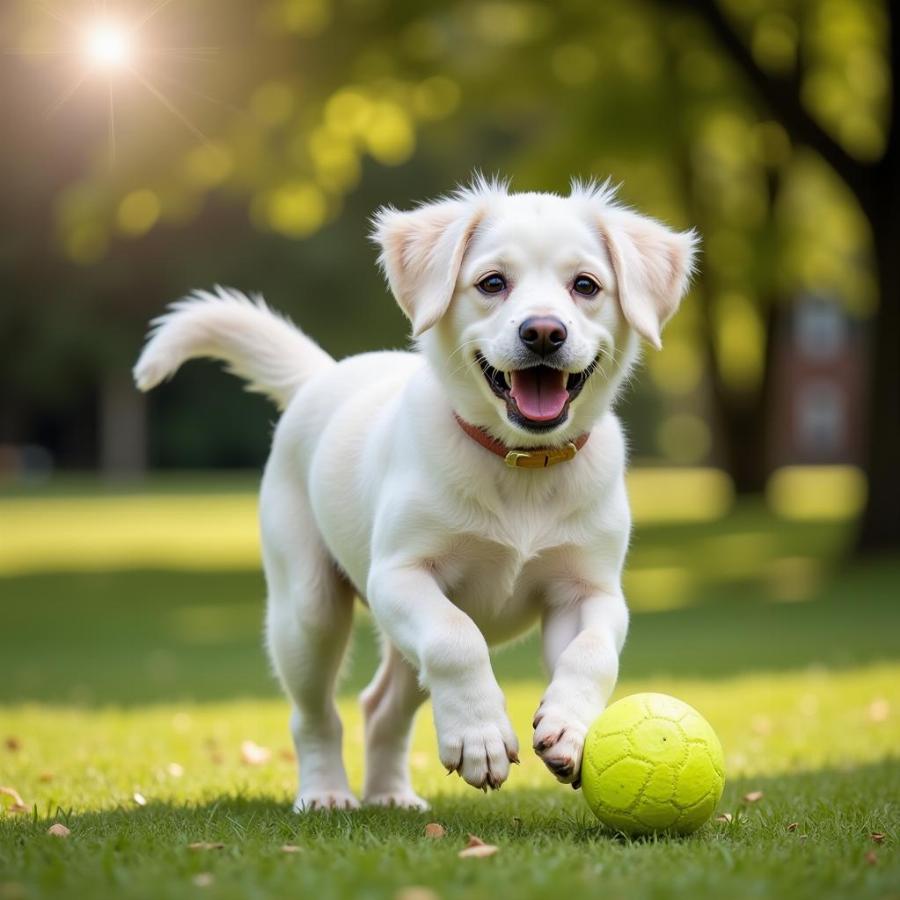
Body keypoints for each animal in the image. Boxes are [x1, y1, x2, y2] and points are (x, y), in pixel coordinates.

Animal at [134, 179, 696, 812]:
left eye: (586, 286)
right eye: (492, 283)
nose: (544, 332)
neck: (520, 462)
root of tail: (321, 376)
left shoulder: (589, 589)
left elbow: (593, 653)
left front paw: (569, 728)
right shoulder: (399, 575)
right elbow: (456, 641)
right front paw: (480, 737)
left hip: (397, 646)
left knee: (382, 706)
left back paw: (391, 796)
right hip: (307, 609)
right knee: (316, 713)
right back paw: (326, 792)